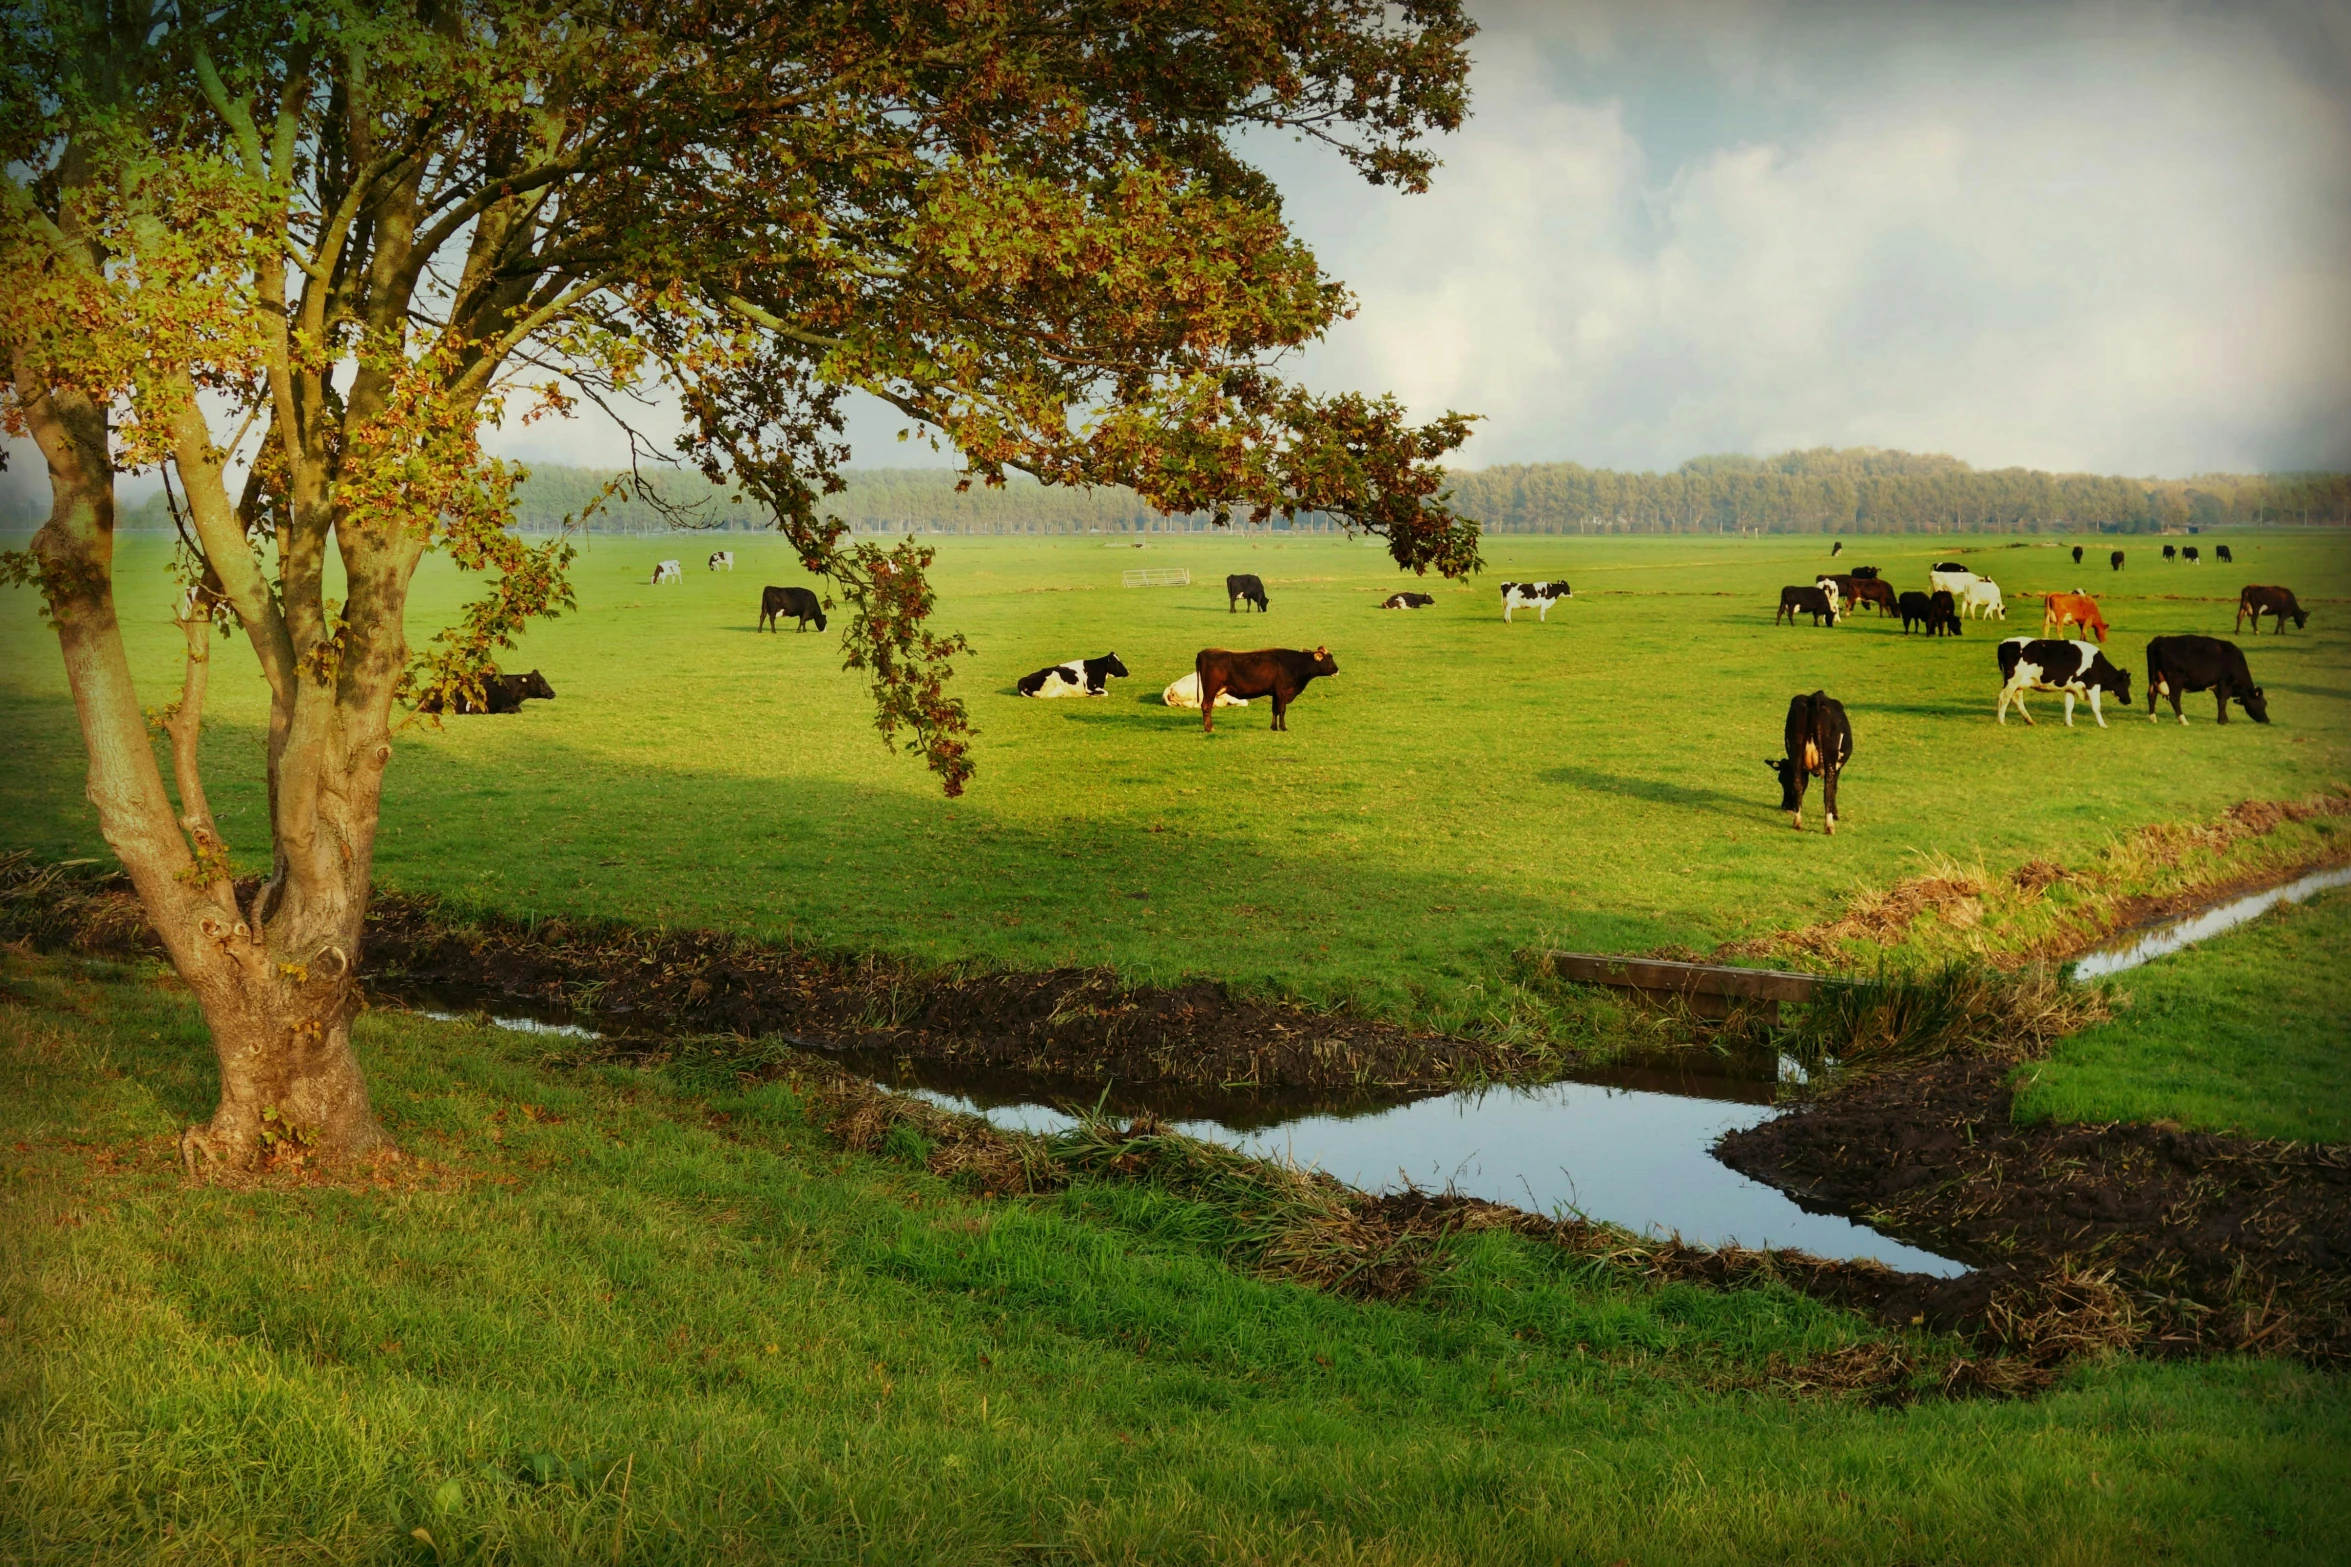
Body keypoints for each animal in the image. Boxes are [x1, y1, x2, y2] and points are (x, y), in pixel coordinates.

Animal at [1194, 643, 1344, 737]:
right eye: (1329, 660)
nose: (1337, 670)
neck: (1294, 664)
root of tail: (1202, 653)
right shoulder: (1283, 691)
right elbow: (1282, 710)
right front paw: (1283, 727)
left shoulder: (1275, 693)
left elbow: (1275, 710)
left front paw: (1274, 727)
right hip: (1211, 689)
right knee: (1206, 706)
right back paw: (1209, 728)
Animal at [1767, 686, 1861, 831]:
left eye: (1781, 780)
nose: (1786, 806)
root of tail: (1815, 697)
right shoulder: (1837, 766)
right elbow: (1834, 788)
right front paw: (1835, 814)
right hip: (1830, 757)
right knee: (1828, 788)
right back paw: (1829, 826)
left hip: (1796, 750)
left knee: (1798, 783)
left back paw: (1797, 823)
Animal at [1993, 639, 2144, 728]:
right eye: (2125, 684)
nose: (2128, 700)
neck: (2097, 664)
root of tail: (2004, 643)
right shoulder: (2093, 685)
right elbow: (2096, 706)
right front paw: (2103, 724)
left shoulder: (2071, 688)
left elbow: (2069, 706)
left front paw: (2069, 723)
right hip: (2012, 681)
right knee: (2004, 698)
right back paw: (2001, 721)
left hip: (2018, 684)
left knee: (2016, 699)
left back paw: (2030, 720)